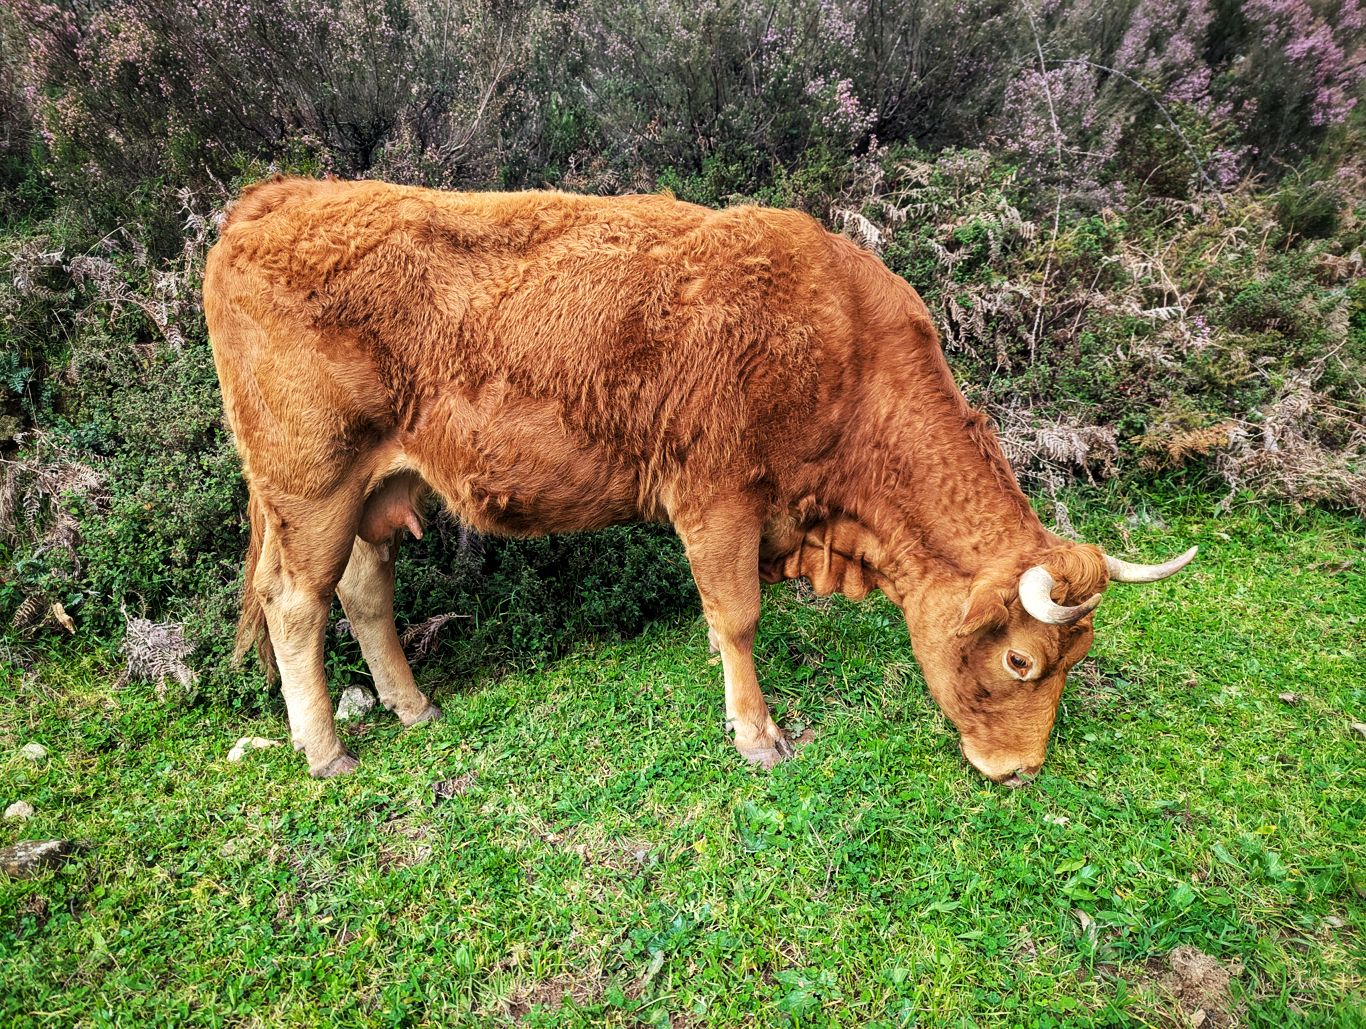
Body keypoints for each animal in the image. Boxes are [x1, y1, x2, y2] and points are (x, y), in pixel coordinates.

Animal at [204, 180, 1196, 781]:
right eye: (1022, 660)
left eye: (1078, 660)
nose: (1021, 768)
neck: (848, 347)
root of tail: (275, 198)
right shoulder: (716, 496)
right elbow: (738, 614)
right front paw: (757, 733)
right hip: (311, 485)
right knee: (296, 604)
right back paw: (325, 750)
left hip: (372, 489)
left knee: (364, 593)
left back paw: (414, 708)